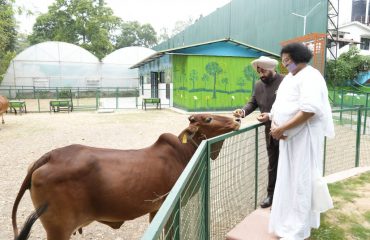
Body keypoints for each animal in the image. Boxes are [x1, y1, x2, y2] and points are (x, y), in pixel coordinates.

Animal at [12, 113, 240, 239]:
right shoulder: (170, 207)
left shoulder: (155, 210)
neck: (183, 153)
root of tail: (50, 156)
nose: (237, 118)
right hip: (58, 229)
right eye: (208, 118)